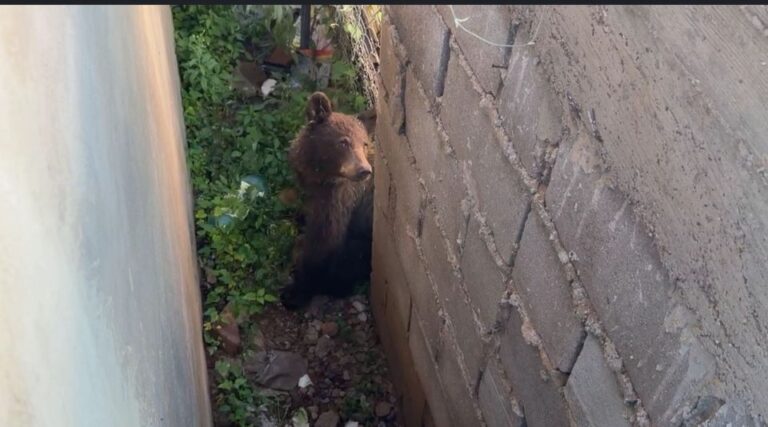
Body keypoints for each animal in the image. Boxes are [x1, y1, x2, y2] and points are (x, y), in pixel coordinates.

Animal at [280, 91, 376, 310]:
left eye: (364, 144)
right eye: (343, 142)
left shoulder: (342, 200)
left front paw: (295, 292)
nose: (364, 170)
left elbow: (323, 240)